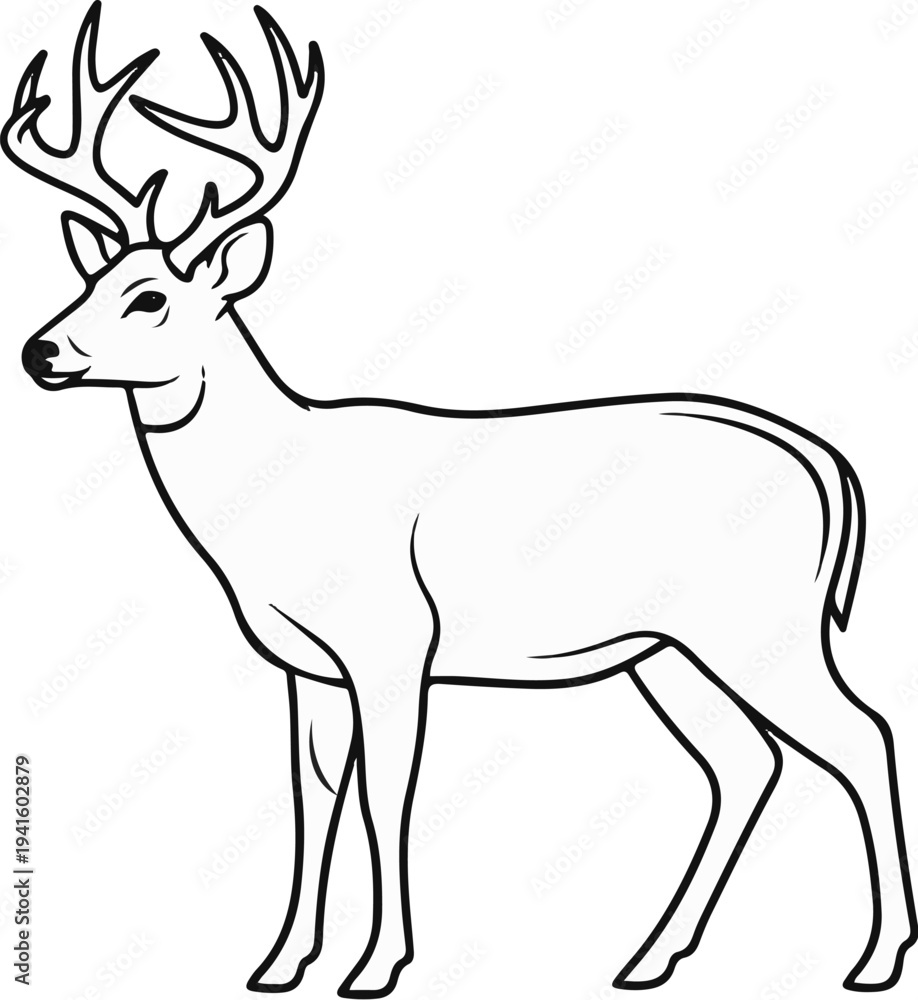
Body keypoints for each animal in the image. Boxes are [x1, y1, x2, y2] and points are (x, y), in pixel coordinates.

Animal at [4, 4, 916, 995]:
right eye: (89, 282)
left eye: (150, 298)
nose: (41, 352)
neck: (276, 501)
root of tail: (828, 463)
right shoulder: (306, 666)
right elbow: (311, 797)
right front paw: (280, 963)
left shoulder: (395, 642)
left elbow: (386, 795)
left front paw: (378, 965)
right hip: (669, 647)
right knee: (747, 762)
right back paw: (649, 956)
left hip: (761, 621)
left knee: (861, 734)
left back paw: (875, 957)